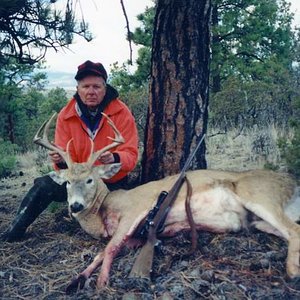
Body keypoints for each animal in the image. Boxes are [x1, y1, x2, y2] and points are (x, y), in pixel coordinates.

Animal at [33, 113, 300, 290]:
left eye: (90, 179)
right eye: (67, 182)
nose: (75, 206)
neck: (103, 210)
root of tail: (292, 183)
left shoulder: (135, 211)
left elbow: (108, 248)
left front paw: (101, 283)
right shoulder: (134, 236)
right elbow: (102, 252)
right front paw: (76, 280)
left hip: (259, 196)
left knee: (293, 229)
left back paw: (292, 272)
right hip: (258, 220)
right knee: (290, 231)